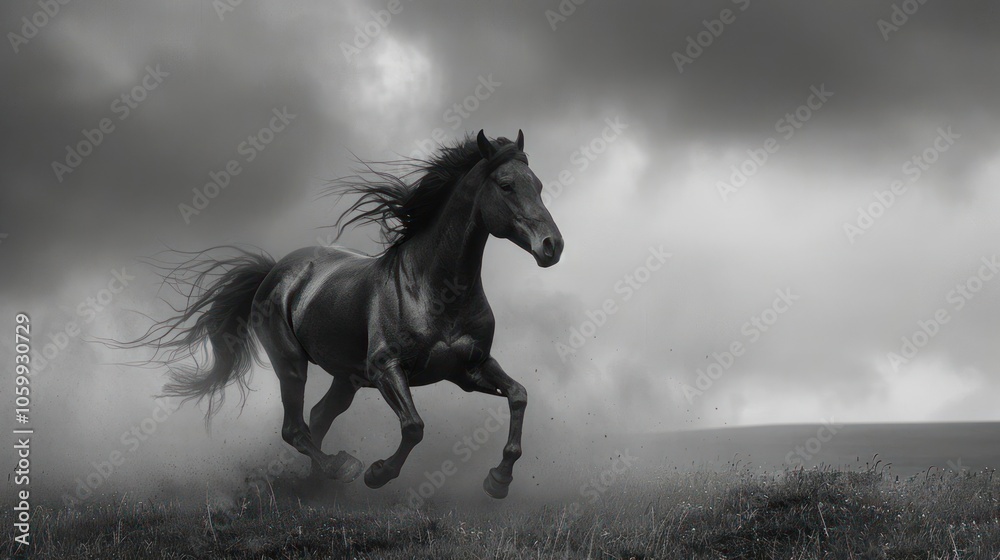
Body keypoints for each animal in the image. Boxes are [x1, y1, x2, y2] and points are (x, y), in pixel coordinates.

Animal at [128, 130, 563, 499]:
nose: (552, 246)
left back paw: (314, 485)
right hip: (291, 363)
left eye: (539, 185)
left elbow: (519, 395)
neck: (435, 289)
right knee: (295, 428)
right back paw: (341, 469)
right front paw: (377, 473)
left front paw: (499, 480)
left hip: (346, 379)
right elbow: (414, 427)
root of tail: (274, 271)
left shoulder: (468, 370)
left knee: (319, 417)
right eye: (506, 185)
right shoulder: (386, 368)